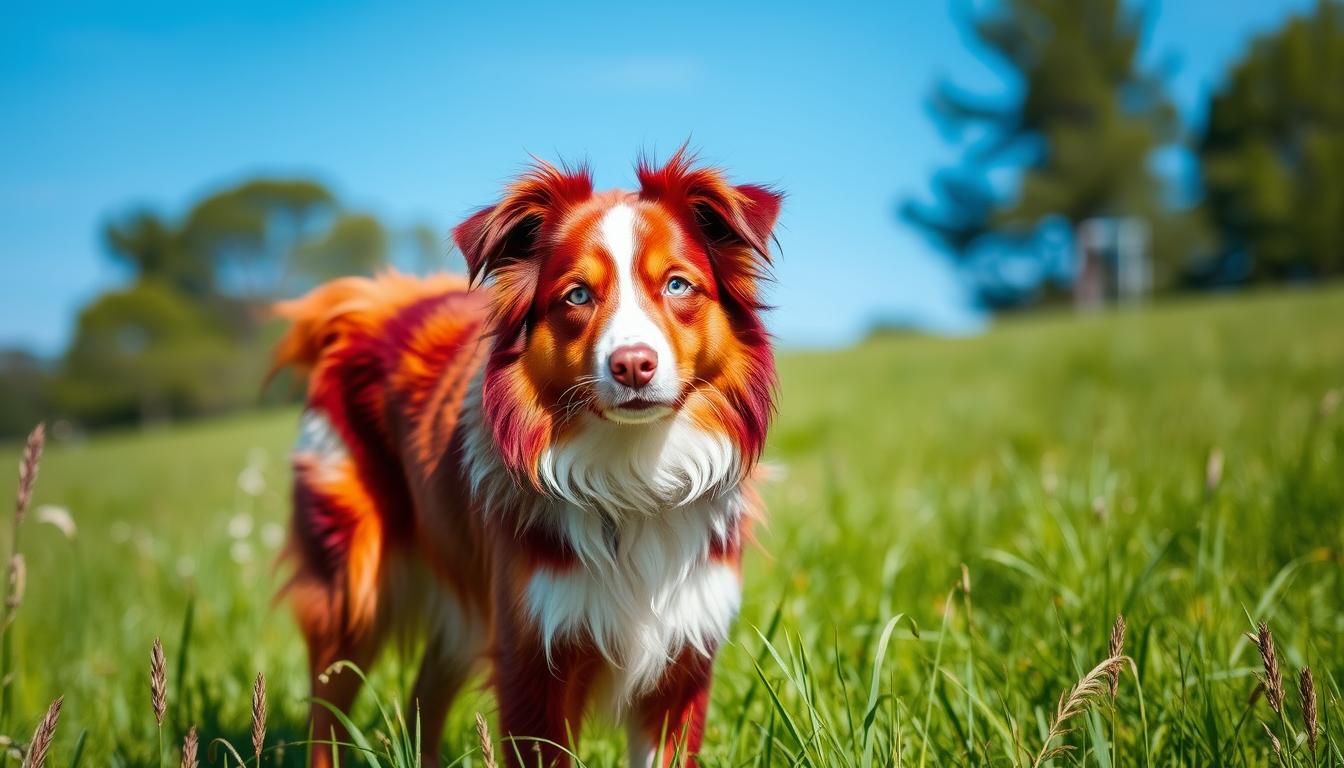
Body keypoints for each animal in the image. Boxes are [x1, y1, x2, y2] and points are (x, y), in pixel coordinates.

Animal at [271, 147, 779, 763]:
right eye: (577, 295)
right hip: (350, 592)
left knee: (423, 696)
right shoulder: (532, 659)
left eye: (678, 285)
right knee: (326, 714)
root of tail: (364, 305)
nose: (633, 365)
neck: (633, 479)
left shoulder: (682, 664)